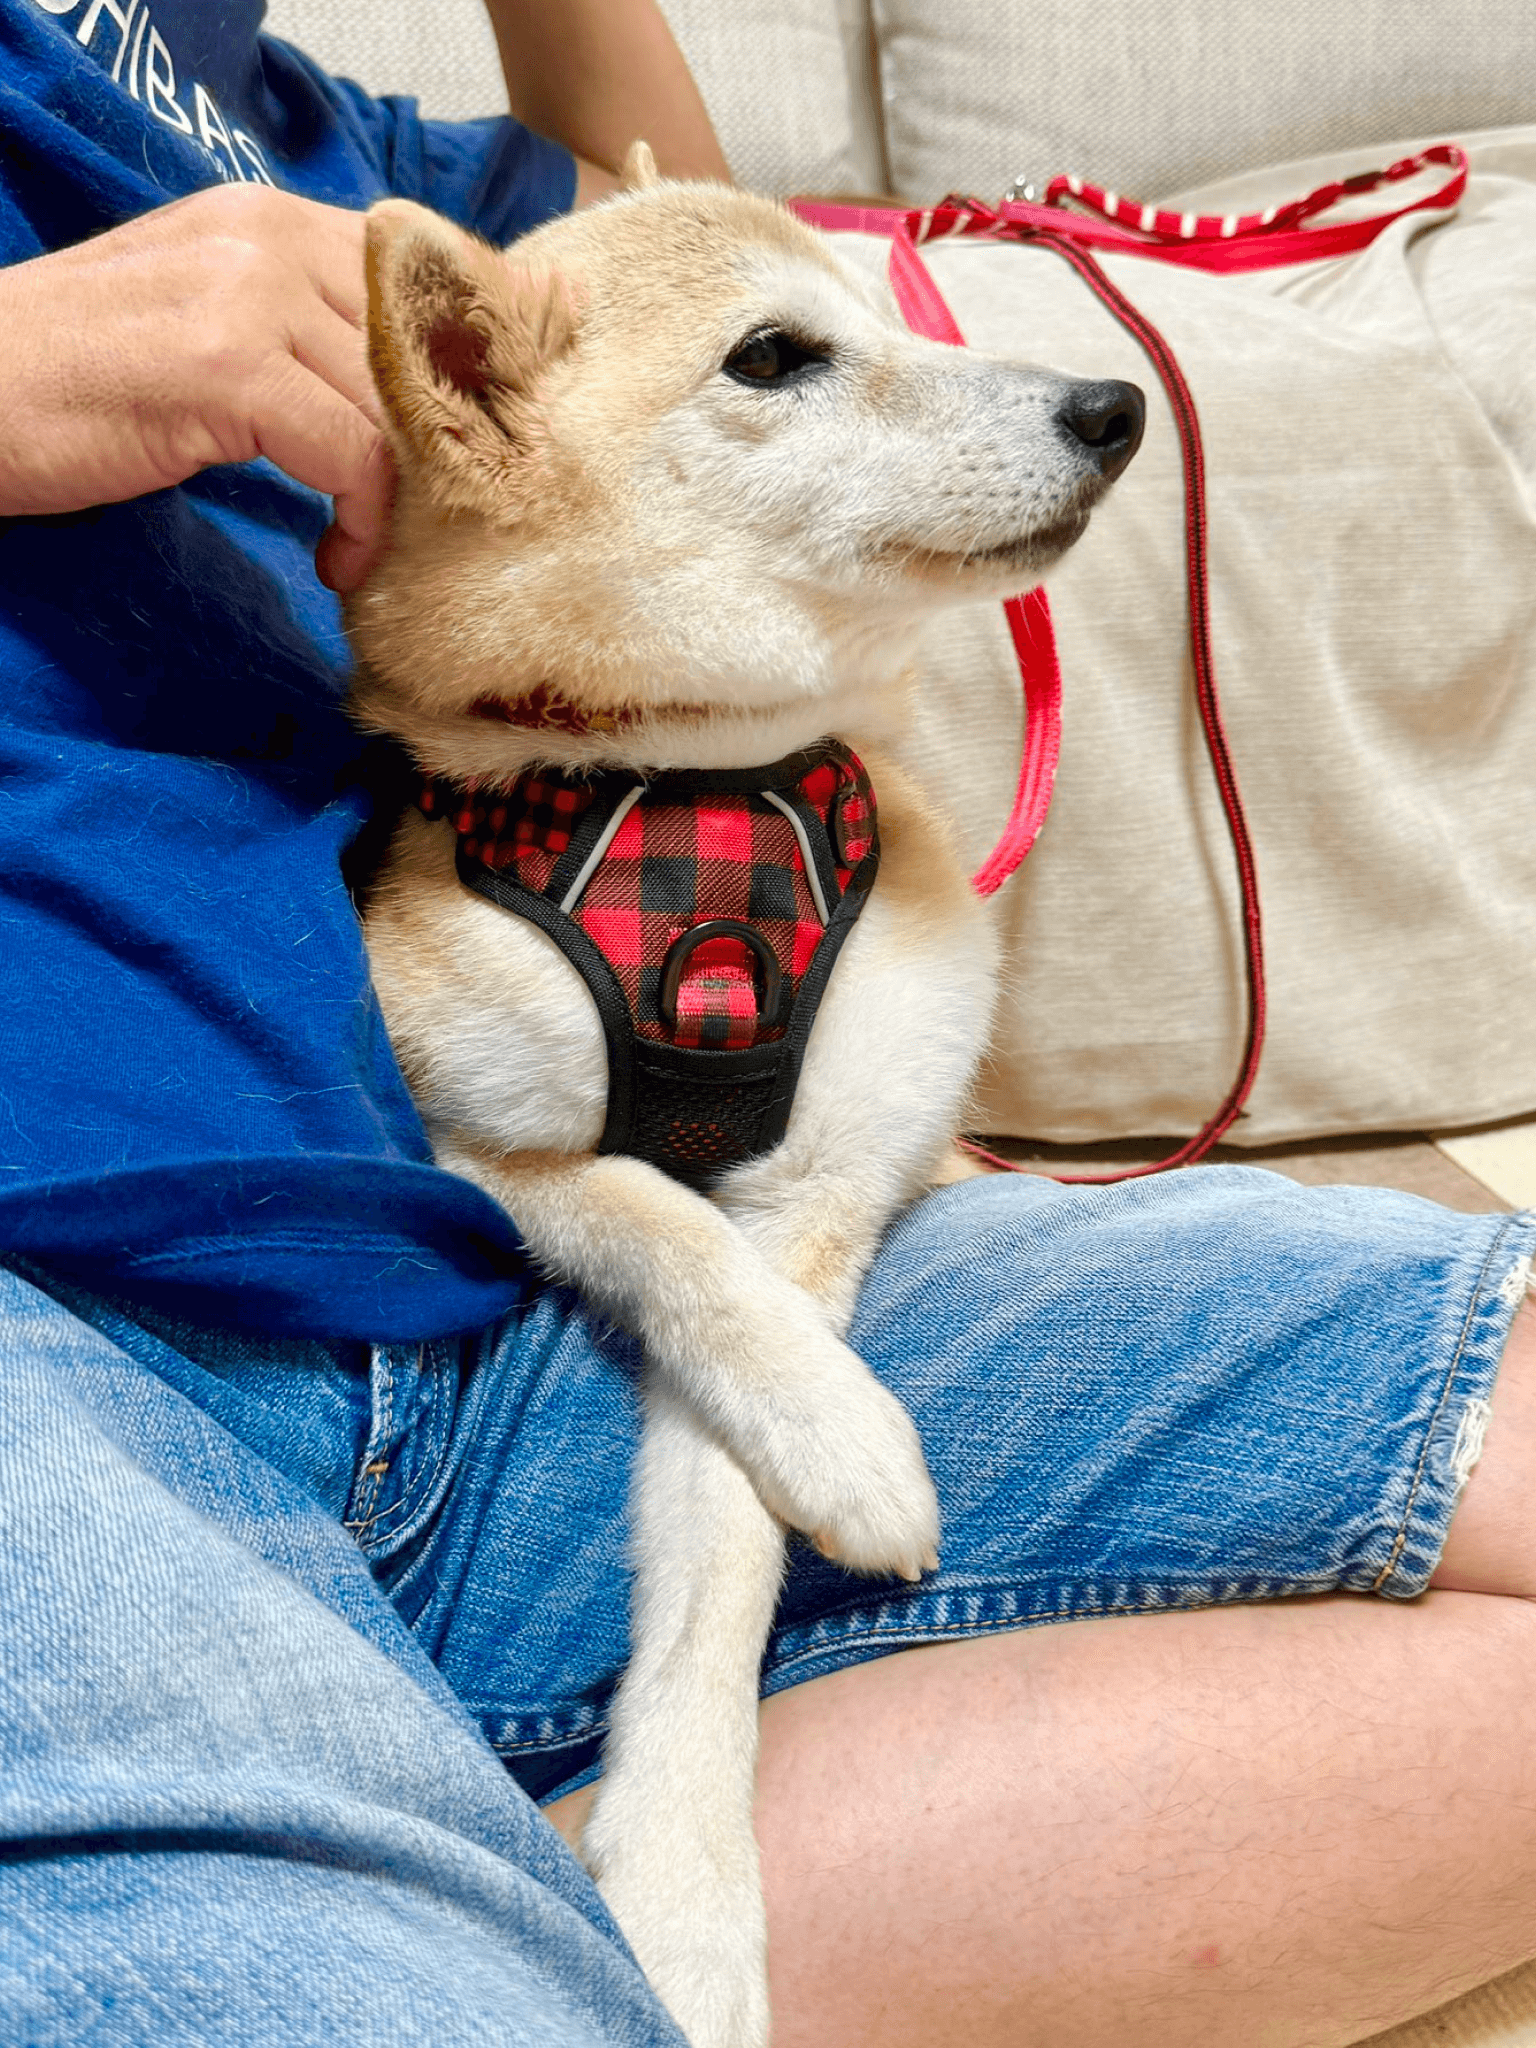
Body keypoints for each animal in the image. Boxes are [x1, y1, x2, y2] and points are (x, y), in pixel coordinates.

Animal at [347, 144, 1143, 2048]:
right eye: (776, 357)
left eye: (891, 309)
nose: (1114, 403)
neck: (694, 788)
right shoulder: (473, 1134)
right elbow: (660, 1224)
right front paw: (847, 1433)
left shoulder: (820, 1189)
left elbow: (727, 1551)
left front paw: (687, 1893)